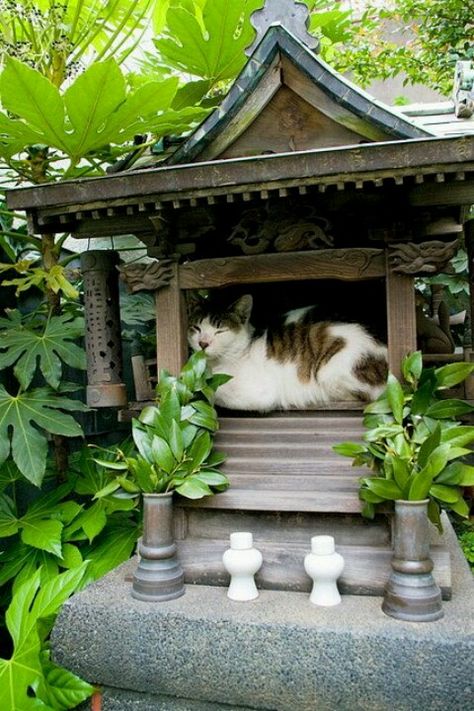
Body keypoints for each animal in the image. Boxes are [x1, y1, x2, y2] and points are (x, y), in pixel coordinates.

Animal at [187, 294, 386, 412]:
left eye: (220, 331)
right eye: (196, 328)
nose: (203, 343)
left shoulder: (259, 392)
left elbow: (213, 388)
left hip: (331, 370)